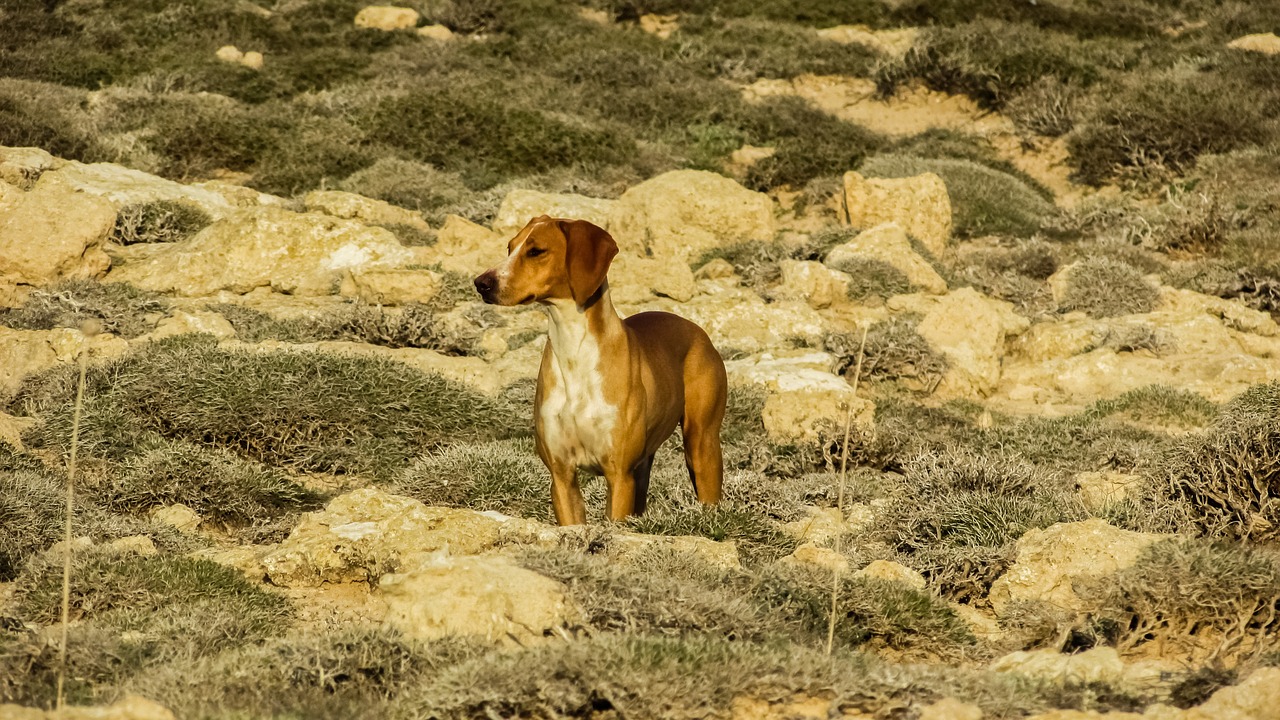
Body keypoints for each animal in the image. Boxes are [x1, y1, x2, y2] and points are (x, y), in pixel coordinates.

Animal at [473, 215, 732, 525]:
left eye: (536, 251)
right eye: (510, 247)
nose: (481, 283)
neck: (574, 350)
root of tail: (697, 330)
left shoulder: (619, 477)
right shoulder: (562, 476)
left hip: (701, 446)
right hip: (642, 470)